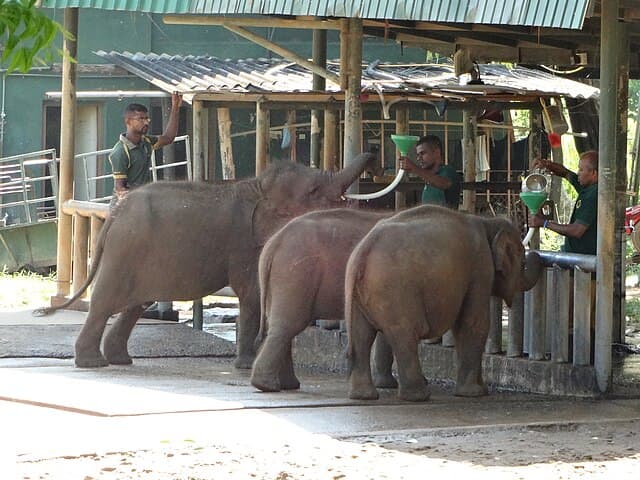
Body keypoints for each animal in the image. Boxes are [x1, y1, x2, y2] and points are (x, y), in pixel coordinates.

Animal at [36, 152, 381, 369]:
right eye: (313, 190)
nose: (376, 150)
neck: (258, 188)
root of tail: (114, 215)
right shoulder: (244, 244)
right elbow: (252, 294)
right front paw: (246, 365)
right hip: (124, 251)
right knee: (106, 302)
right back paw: (92, 363)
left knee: (134, 305)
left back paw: (120, 360)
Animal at [250, 207, 394, 392]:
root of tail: (273, 244)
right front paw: (388, 385)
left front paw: (386, 385)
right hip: (296, 275)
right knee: (287, 325)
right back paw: (268, 386)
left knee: (280, 326)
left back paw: (285, 385)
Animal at [344, 205, 542, 402]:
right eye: (523, 262)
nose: (536, 253)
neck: (488, 223)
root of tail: (362, 252)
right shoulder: (480, 267)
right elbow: (474, 323)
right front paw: (474, 393)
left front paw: (482, 390)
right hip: (395, 292)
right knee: (405, 335)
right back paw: (418, 396)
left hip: (359, 295)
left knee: (362, 336)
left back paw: (363, 396)